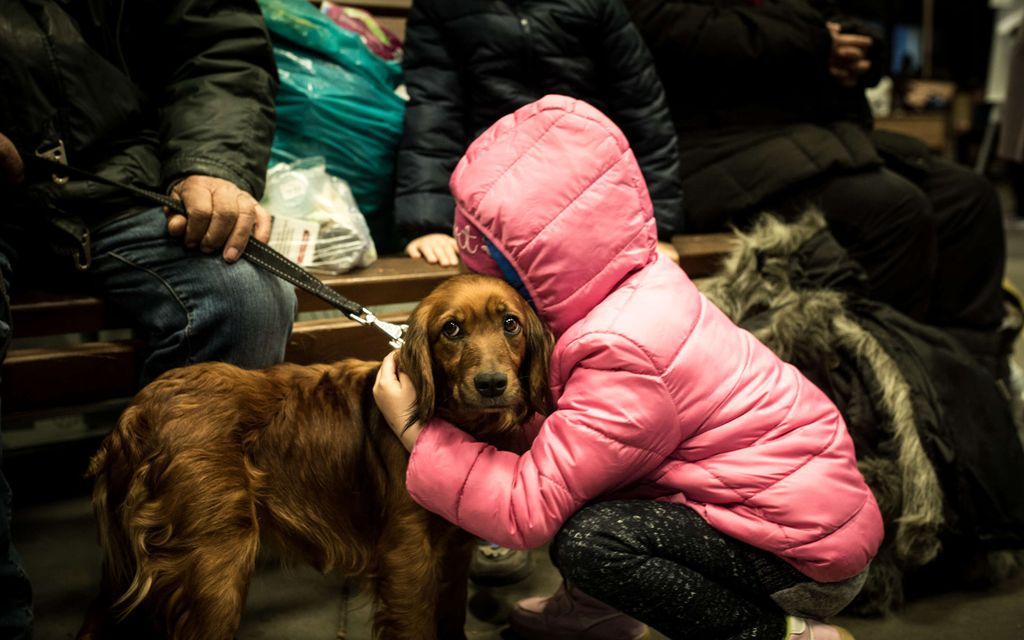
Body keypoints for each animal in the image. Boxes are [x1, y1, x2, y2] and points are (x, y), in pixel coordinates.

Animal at [74, 274, 552, 638]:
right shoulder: (408, 557)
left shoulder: (454, 552)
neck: (461, 425)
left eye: (510, 324)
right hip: (213, 569)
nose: (491, 383)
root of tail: (134, 413)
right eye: (451, 330)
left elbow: (451, 620)